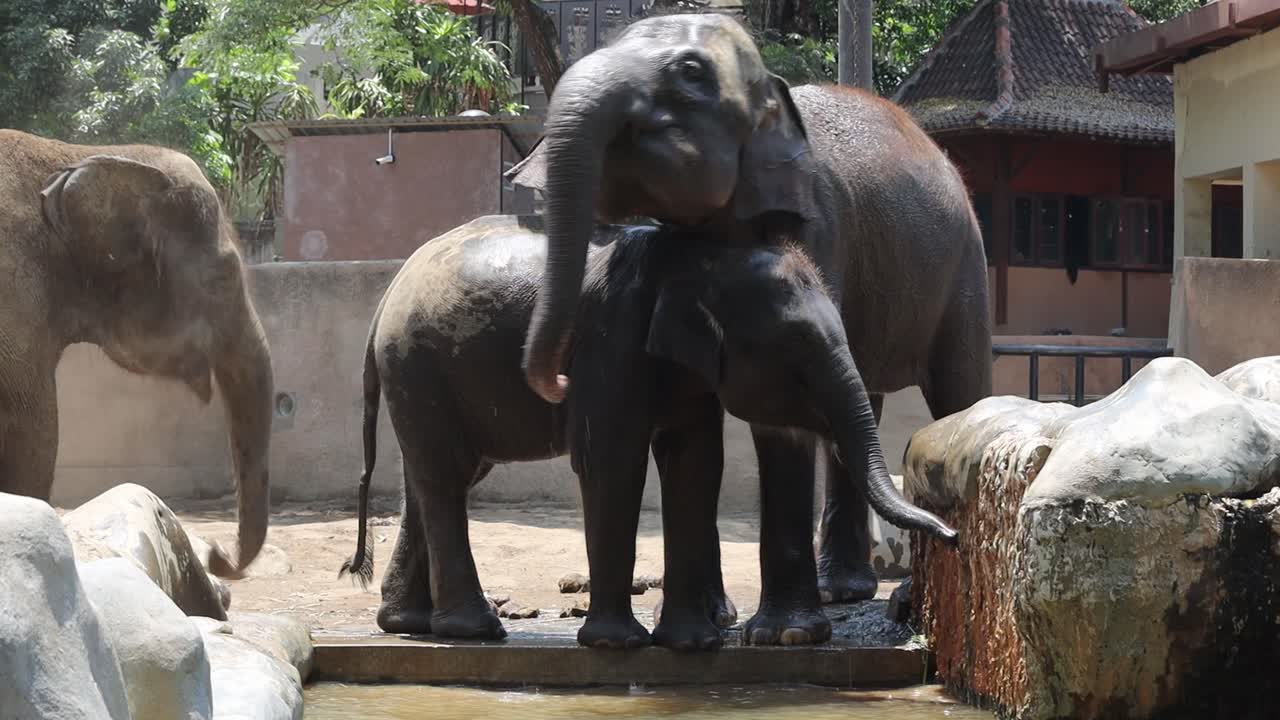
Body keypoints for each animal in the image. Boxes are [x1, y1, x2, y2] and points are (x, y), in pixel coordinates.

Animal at [338, 214, 957, 650]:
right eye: (794, 353)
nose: (951, 535)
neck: (701, 259)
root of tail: (383, 300)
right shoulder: (608, 341)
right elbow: (611, 458)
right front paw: (618, 644)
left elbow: (696, 461)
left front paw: (693, 644)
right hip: (418, 363)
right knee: (445, 478)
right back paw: (475, 629)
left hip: (424, 372)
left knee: (440, 476)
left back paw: (410, 623)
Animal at [507, 12, 992, 608]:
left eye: (691, 72)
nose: (557, 382)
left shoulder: (819, 223)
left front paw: (782, 628)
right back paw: (842, 589)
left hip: (965, 264)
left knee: (956, 385)